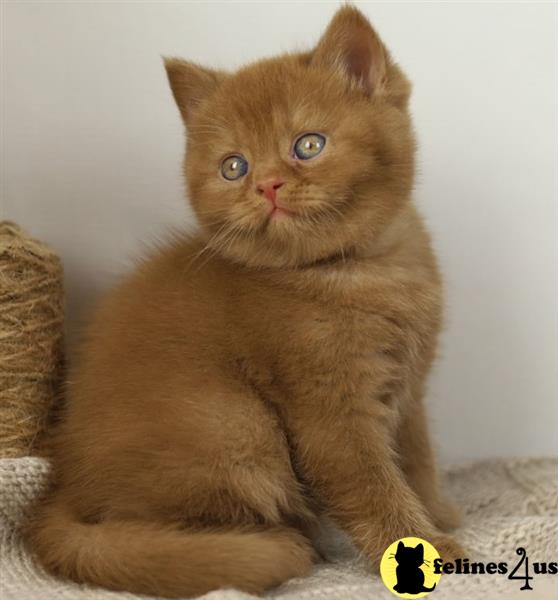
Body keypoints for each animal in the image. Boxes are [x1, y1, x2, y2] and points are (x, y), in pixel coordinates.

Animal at [25, 3, 464, 596]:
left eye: (308, 144)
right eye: (234, 166)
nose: (268, 185)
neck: (357, 269)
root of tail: (62, 488)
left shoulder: (408, 386)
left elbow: (416, 457)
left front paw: (440, 515)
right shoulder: (330, 411)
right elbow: (373, 482)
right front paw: (422, 544)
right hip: (235, 424)